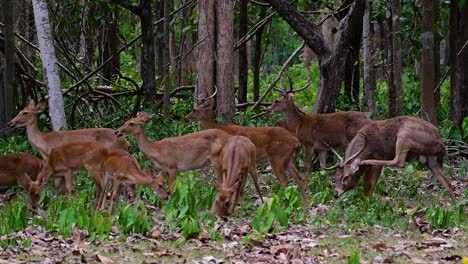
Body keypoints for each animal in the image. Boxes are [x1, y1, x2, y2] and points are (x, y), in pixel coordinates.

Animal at [326, 116, 458, 201]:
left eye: (346, 177)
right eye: (335, 177)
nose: (335, 193)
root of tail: (440, 141)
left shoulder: (377, 162)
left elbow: (370, 185)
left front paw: (368, 202)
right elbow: (367, 186)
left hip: (404, 135)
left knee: (398, 161)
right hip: (431, 160)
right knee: (447, 181)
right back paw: (456, 208)